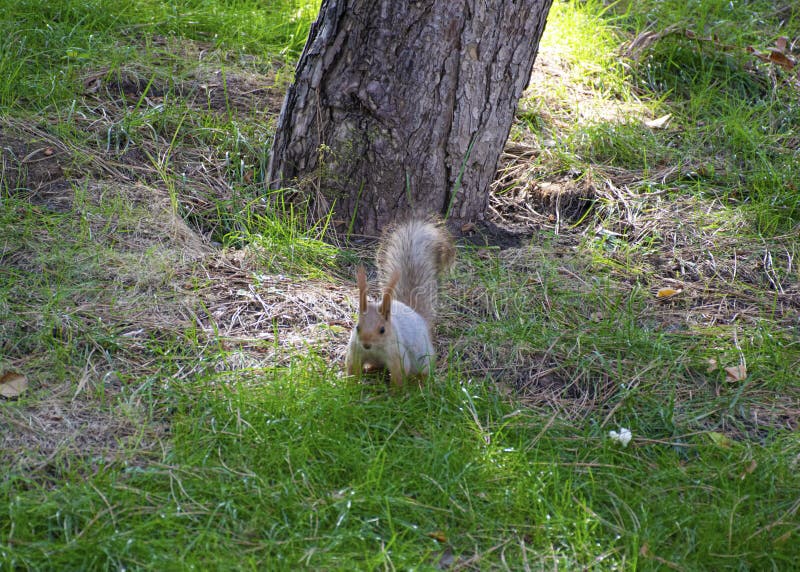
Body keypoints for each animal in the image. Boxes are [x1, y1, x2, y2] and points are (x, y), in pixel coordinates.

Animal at [346, 221, 456, 386]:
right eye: (357, 327)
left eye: (382, 330)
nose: (366, 344)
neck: (375, 350)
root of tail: (416, 314)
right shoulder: (355, 351)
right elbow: (352, 369)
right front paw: (350, 386)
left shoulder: (397, 354)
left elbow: (399, 375)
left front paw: (395, 392)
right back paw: (370, 369)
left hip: (422, 357)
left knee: (423, 371)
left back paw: (420, 383)